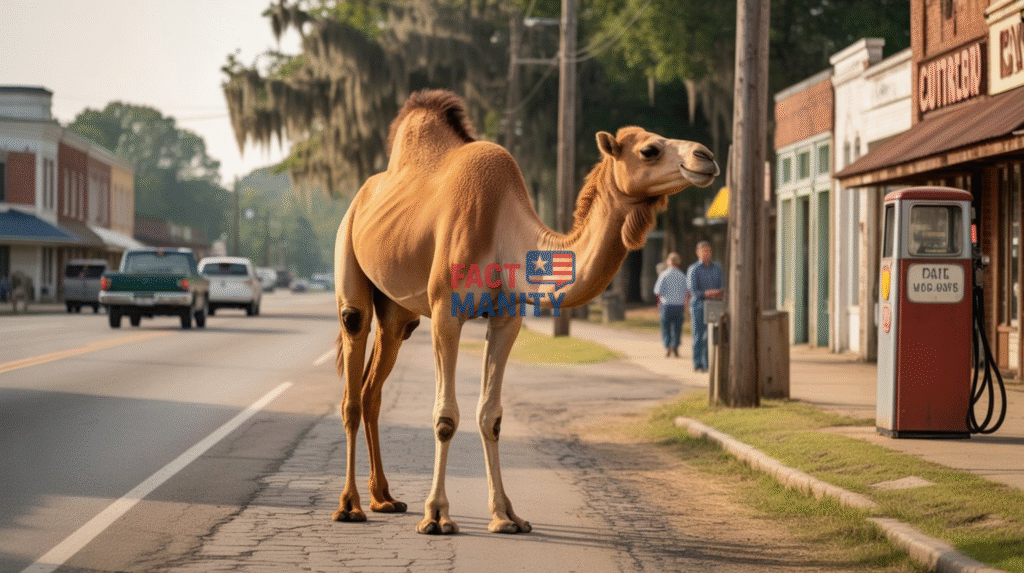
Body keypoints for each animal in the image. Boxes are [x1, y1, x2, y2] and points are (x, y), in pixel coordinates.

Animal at [332, 89, 718, 535]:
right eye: (649, 150)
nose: (707, 156)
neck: (504, 232)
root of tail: (361, 197)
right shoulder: (447, 310)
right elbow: (445, 417)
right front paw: (437, 515)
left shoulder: (507, 318)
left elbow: (491, 416)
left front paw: (505, 516)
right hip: (349, 259)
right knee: (352, 381)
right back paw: (350, 506)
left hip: (397, 314)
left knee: (372, 389)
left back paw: (385, 498)